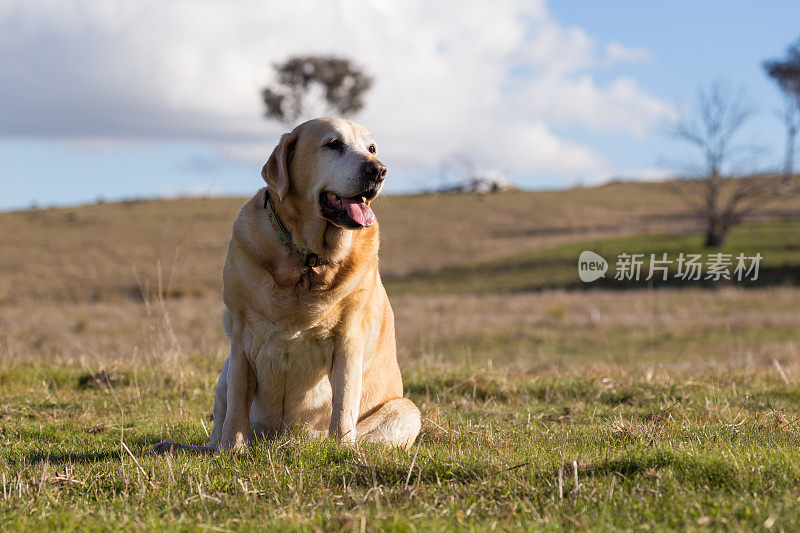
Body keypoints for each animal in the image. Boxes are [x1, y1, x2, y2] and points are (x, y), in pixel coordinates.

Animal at [152, 118, 422, 450]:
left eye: (372, 148)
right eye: (333, 144)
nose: (378, 170)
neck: (305, 258)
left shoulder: (348, 337)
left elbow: (344, 403)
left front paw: (341, 449)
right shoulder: (241, 338)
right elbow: (237, 404)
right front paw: (232, 450)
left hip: (406, 409)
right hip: (224, 375)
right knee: (218, 430)